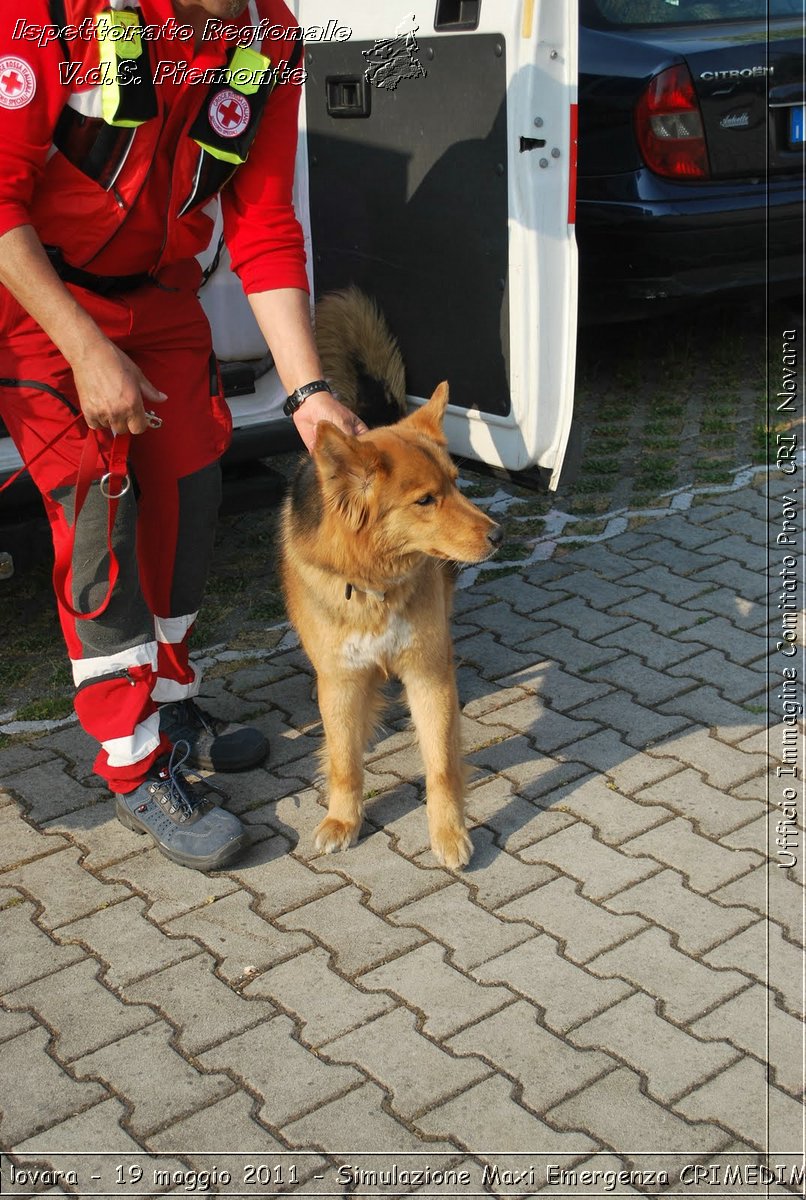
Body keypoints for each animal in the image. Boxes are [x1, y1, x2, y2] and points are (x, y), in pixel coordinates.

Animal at [280, 360, 501, 868]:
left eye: (456, 483)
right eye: (425, 500)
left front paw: (448, 832)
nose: (498, 535)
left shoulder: (428, 672)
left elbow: (441, 764)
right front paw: (344, 820)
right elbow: (344, 761)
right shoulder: (339, 680)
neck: (373, 586)